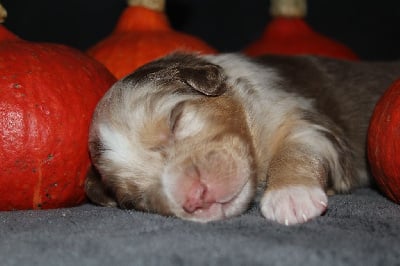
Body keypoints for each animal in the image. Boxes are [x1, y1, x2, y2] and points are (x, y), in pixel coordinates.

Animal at [85, 53, 400, 225]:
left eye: (176, 119)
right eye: (134, 200)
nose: (196, 198)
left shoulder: (306, 121)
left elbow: (296, 149)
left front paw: (291, 195)